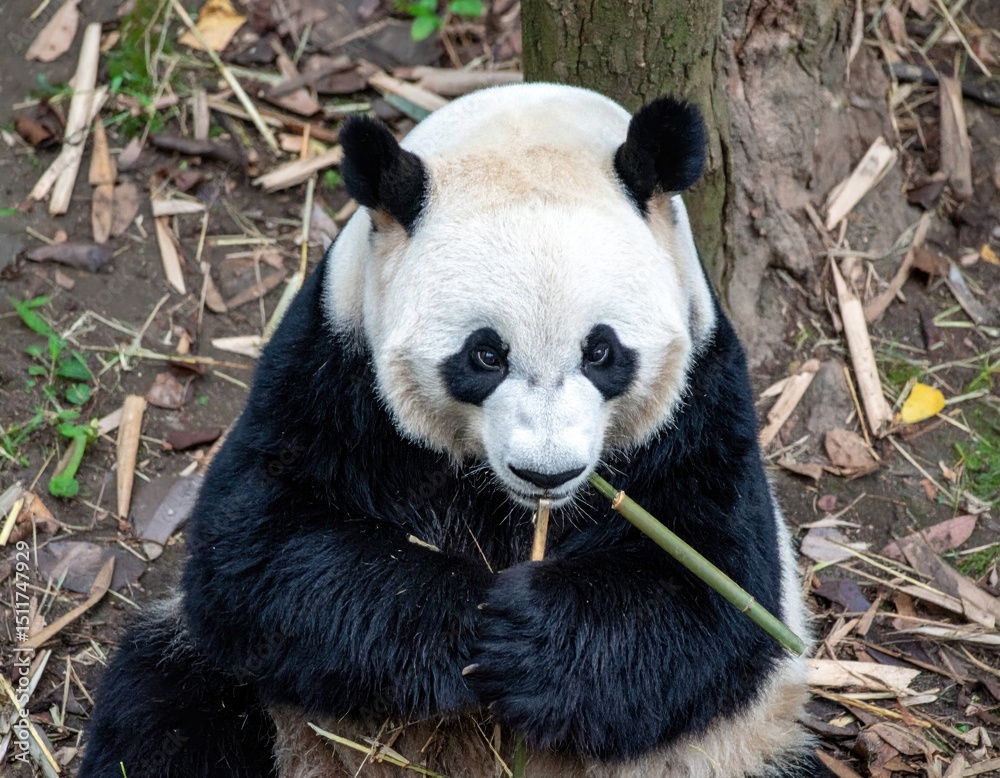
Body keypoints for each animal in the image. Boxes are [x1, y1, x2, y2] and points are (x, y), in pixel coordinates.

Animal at [79, 83, 830, 778]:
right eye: (485, 354)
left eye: (601, 351)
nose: (546, 473)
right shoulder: (329, 365)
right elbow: (258, 544)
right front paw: (468, 617)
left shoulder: (703, 395)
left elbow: (715, 588)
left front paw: (526, 640)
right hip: (252, 693)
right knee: (167, 710)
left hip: (741, 748)